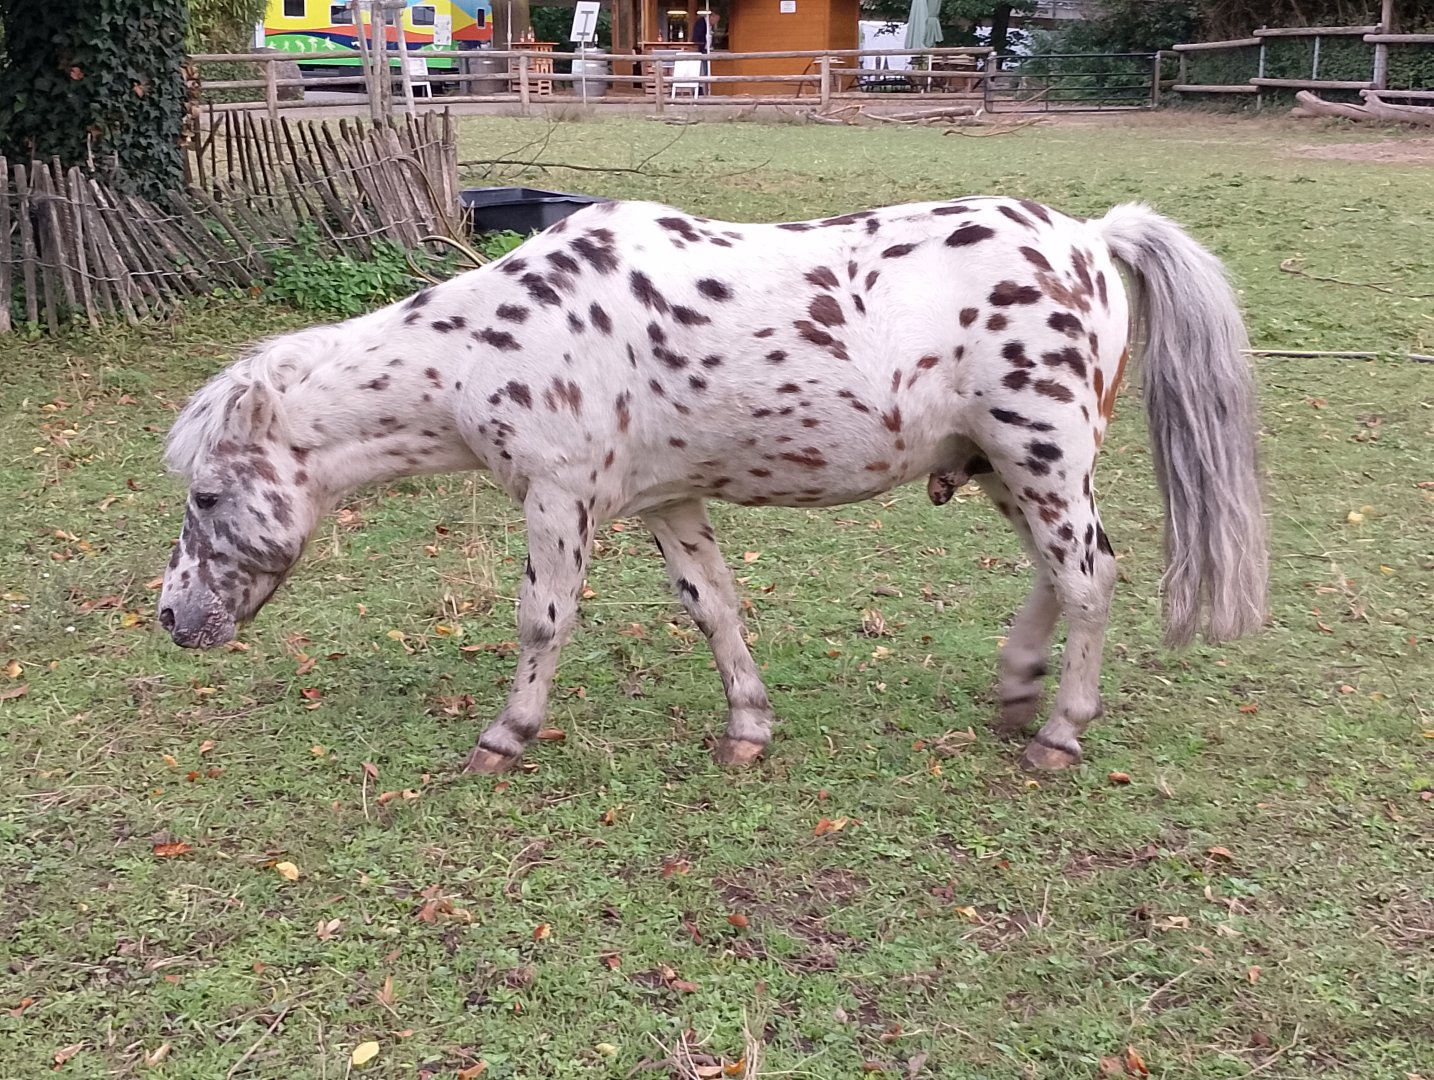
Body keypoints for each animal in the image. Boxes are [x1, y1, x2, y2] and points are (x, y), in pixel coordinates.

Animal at [158, 195, 1267, 774]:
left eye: (207, 499)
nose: (171, 619)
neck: (491, 341)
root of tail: (1090, 237)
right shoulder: (666, 502)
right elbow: (714, 607)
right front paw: (748, 728)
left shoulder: (559, 500)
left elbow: (541, 621)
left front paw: (506, 737)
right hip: (1009, 467)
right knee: (1057, 575)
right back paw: (1014, 691)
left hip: (1042, 459)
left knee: (1088, 580)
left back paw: (1058, 736)